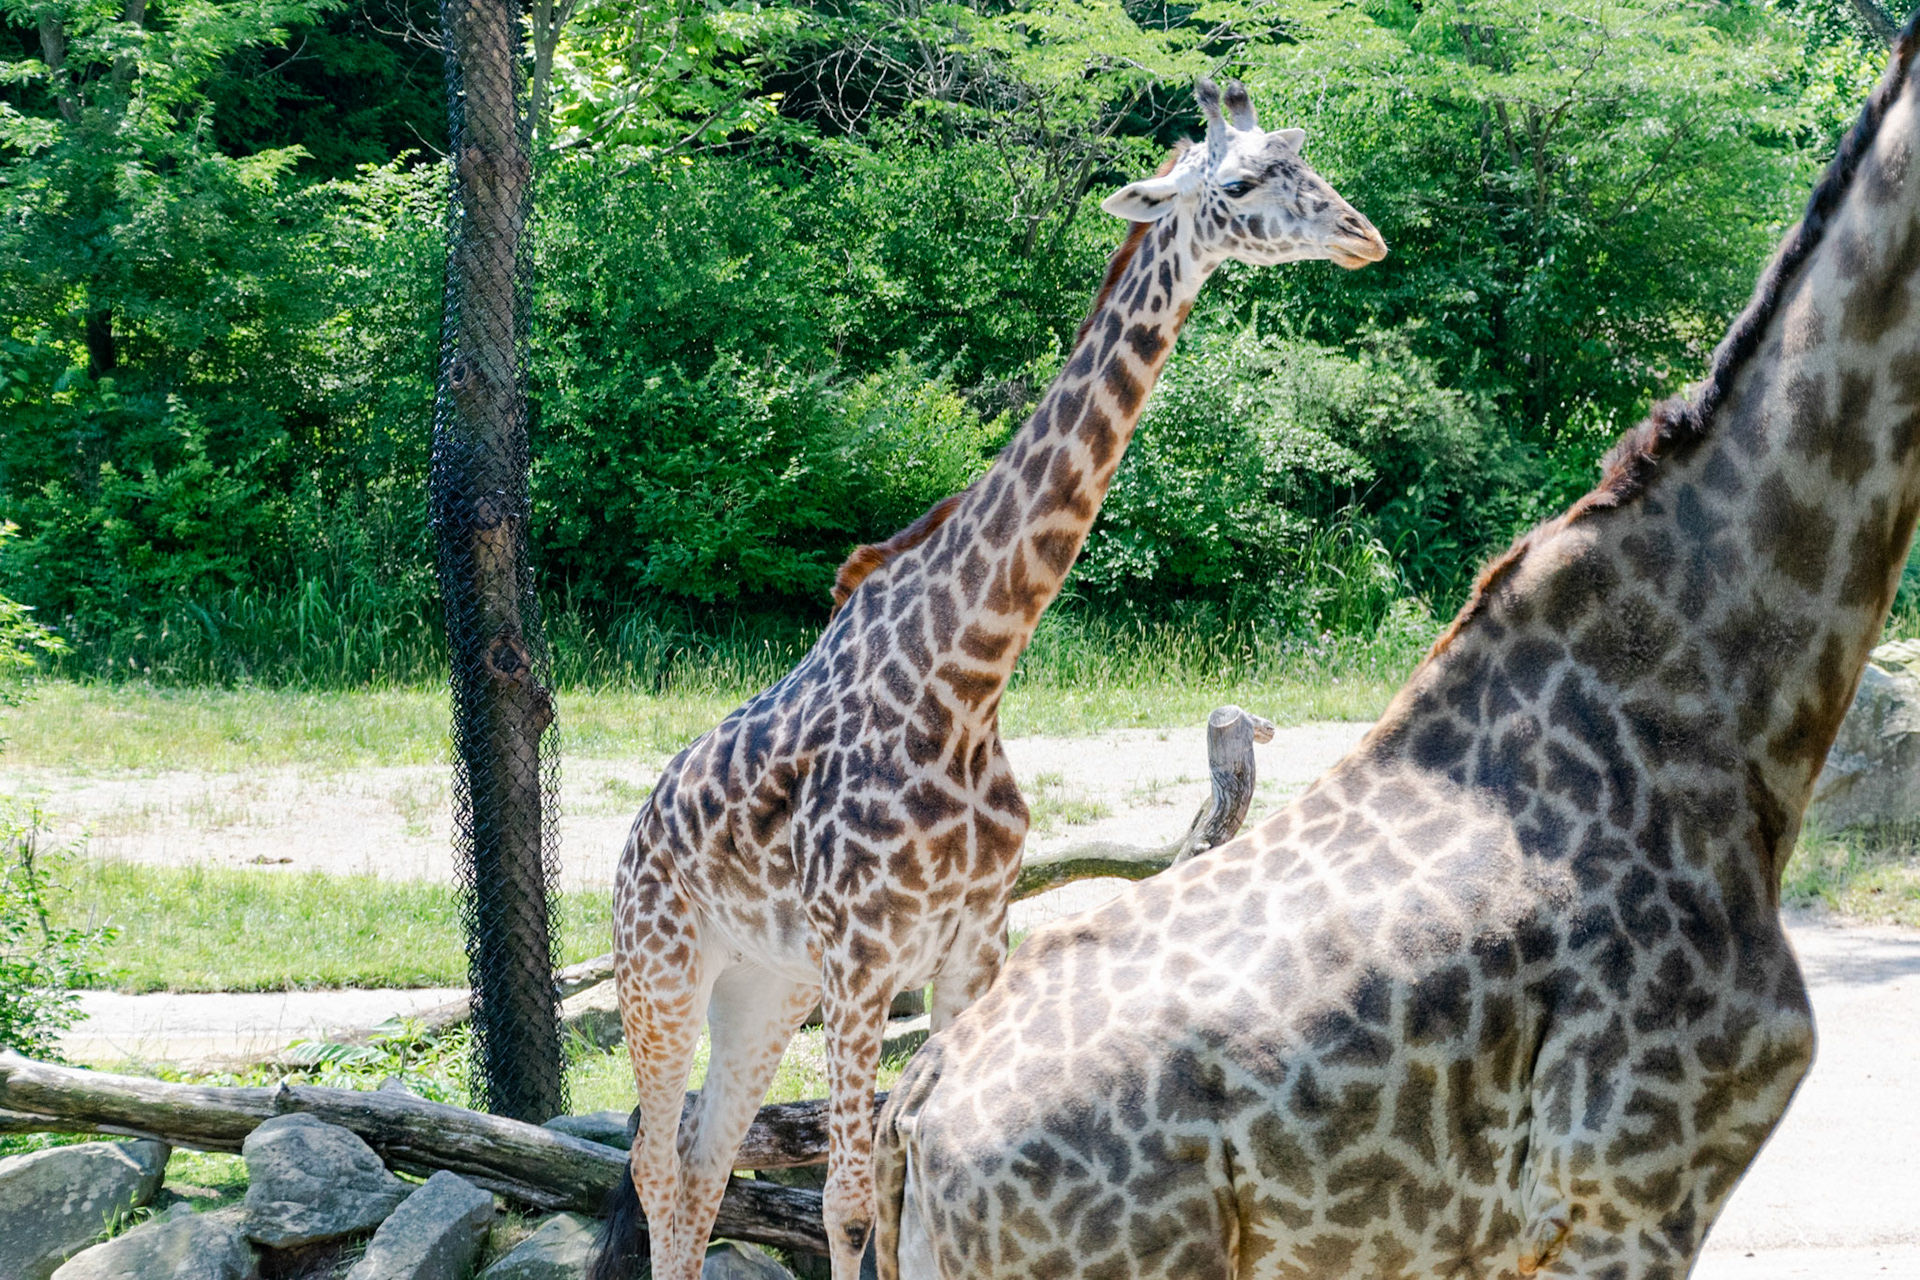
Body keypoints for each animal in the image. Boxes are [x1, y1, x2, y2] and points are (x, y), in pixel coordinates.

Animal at [589, 80, 1388, 1280]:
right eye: (1243, 181)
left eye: (1306, 159)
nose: (1360, 234)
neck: (966, 678)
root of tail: (638, 829)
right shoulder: (864, 958)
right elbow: (849, 1203)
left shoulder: (971, 941)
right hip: (664, 970)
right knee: (650, 1162)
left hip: (762, 985)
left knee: (701, 1161)